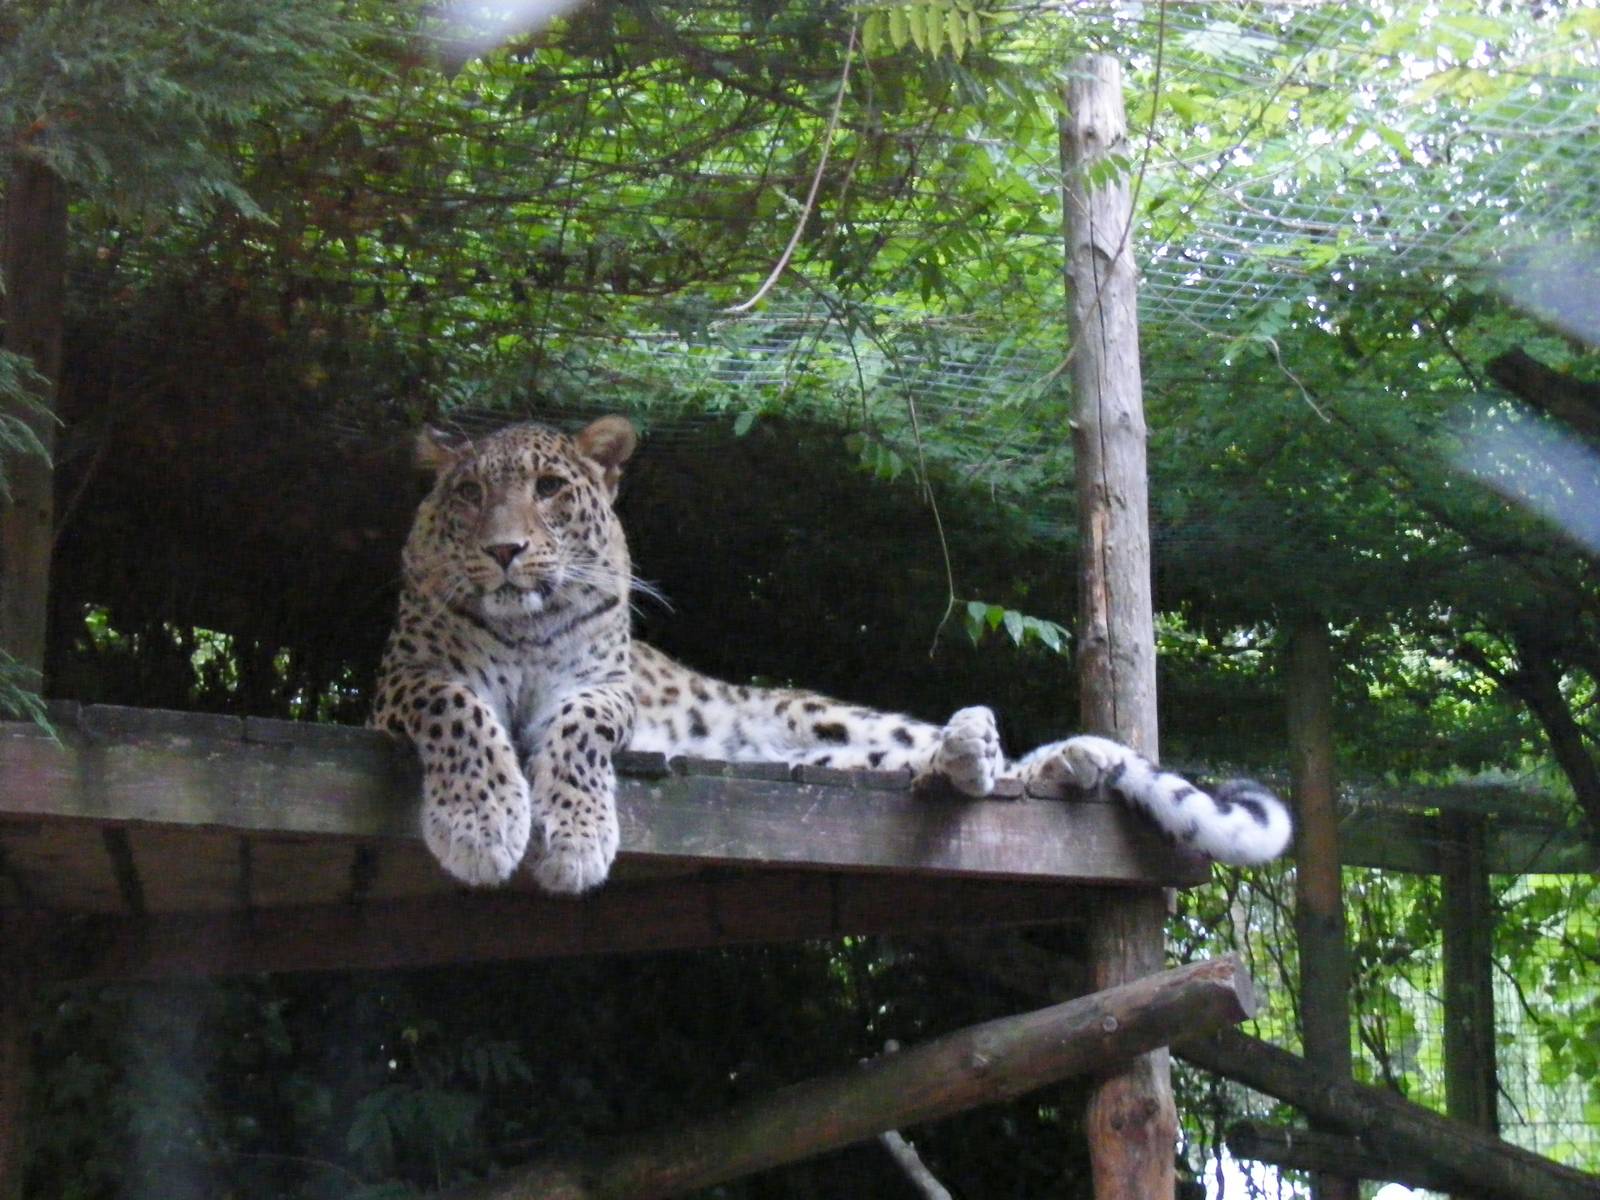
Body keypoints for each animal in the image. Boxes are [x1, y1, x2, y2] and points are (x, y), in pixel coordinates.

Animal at [371, 416, 1293, 894]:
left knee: (961, 758)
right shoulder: (402, 682)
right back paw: (991, 757)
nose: (505, 550)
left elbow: (579, 730)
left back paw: (1026, 754)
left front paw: (570, 838)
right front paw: (483, 823)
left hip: (819, 714)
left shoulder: (605, 686)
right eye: (469, 494)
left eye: (551, 490)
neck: (528, 631)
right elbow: (462, 710)